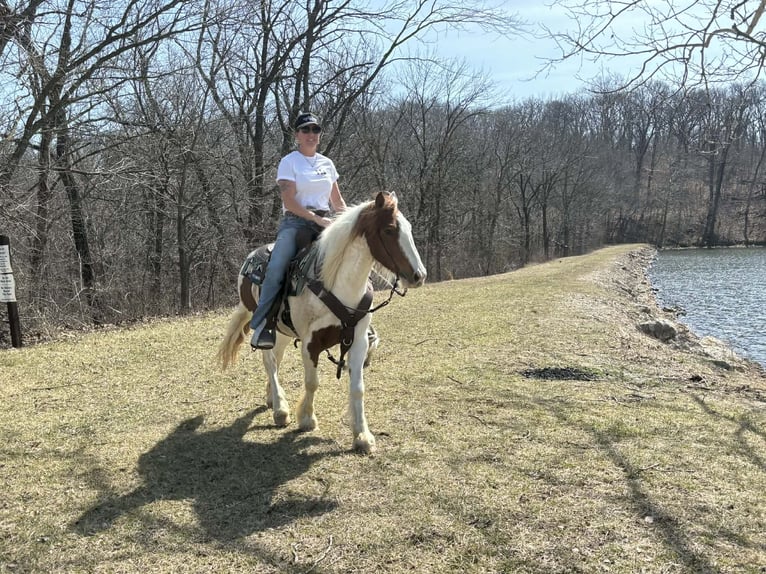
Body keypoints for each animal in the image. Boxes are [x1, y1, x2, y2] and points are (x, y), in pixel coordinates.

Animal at [217, 192, 426, 453]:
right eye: (389, 230)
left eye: (409, 228)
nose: (419, 275)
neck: (337, 285)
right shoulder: (310, 343)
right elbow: (312, 382)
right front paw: (307, 419)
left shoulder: (358, 341)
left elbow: (358, 388)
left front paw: (362, 435)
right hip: (265, 325)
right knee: (270, 361)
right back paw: (280, 409)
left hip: (283, 332)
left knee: (277, 358)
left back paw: (272, 398)